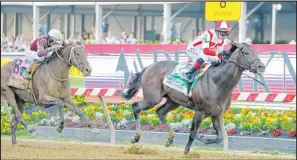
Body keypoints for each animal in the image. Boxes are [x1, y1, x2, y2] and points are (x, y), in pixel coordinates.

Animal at [117, 42, 264, 154]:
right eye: (246, 53)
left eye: (256, 52)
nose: (261, 66)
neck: (217, 82)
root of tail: (149, 67)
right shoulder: (200, 111)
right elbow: (193, 133)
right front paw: (187, 150)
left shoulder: (216, 114)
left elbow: (219, 138)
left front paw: (202, 137)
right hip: (152, 98)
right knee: (136, 106)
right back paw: (136, 137)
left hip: (173, 101)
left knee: (160, 112)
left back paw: (170, 139)